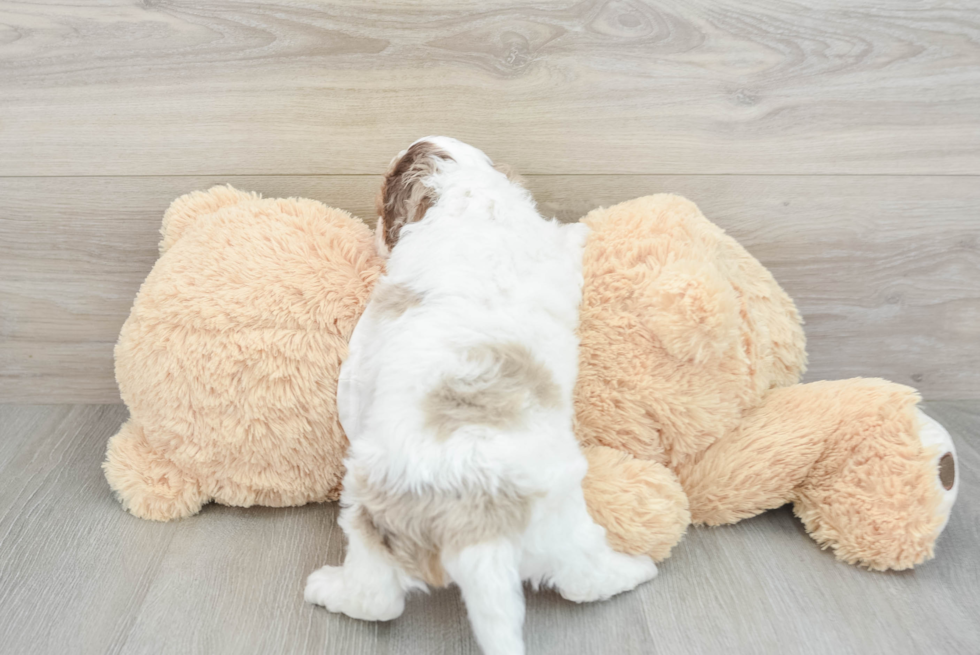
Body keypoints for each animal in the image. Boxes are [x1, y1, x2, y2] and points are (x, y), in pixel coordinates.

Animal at [304, 136, 660, 652]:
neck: (471, 193)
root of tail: (478, 527)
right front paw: (581, 230)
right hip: (563, 525)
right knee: (583, 580)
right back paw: (637, 570)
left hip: (370, 510)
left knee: (376, 599)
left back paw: (325, 589)